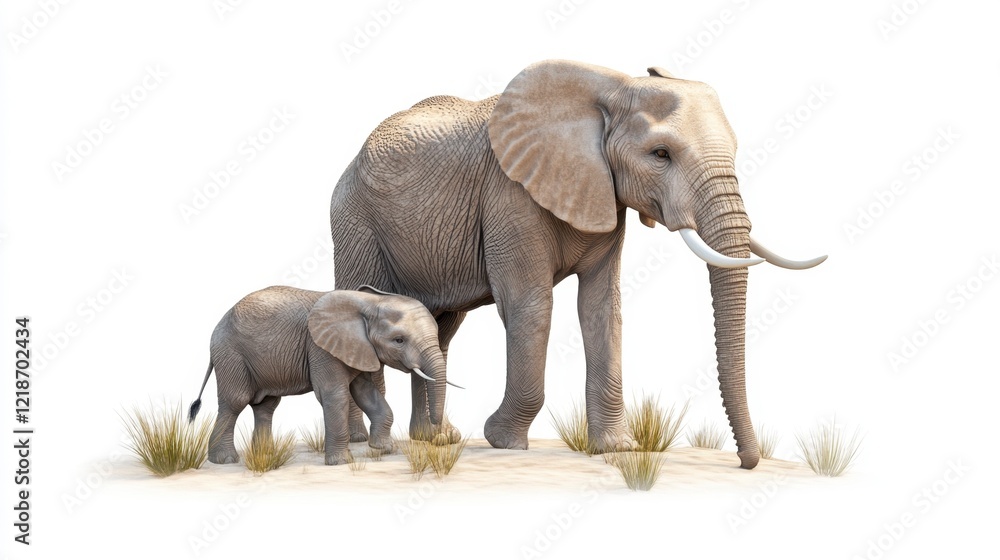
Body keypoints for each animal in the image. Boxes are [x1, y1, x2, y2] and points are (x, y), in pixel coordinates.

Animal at [188, 285, 456, 465]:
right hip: (231, 355)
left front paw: (384, 449)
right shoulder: (320, 347)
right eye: (399, 340)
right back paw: (225, 460)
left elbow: (366, 393)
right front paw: (342, 463)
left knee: (266, 406)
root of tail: (216, 327)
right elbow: (335, 396)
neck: (368, 302)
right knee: (235, 402)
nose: (438, 437)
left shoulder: (357, 348)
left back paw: (265, 455)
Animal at [329, 60, 825, 468]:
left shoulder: (606, 197)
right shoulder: (509, 192)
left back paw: (436, 440)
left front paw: (617, 449)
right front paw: (502, 441)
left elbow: (603, 310)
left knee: (441, 329)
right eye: (660, 154)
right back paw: (363, 444)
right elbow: (531, 308)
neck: (612, 86)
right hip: (355, 220)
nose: (746, 462)